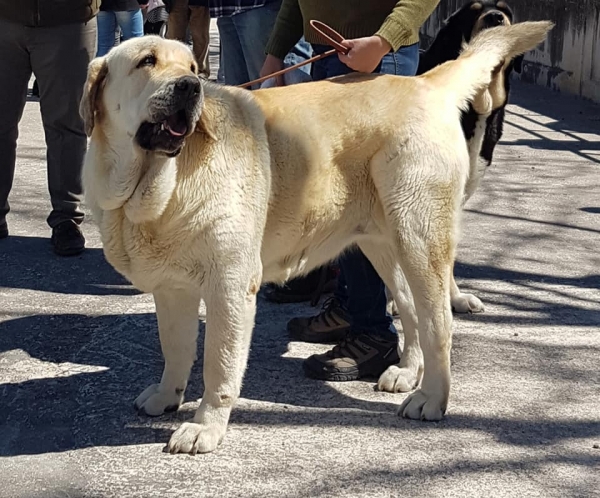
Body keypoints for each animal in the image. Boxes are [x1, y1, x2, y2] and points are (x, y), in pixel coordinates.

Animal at [81, 21, 552, 454]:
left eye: (193, 68)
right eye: (147, 61)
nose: (190, 86)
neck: (157, 184)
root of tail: (424, 83)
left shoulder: (229, 287)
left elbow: (218, 364)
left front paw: (205, 427)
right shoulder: (171, 289)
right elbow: (175, 349)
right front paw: (166, 396)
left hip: (419, 237)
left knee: (438, 320)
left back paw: (432, 397)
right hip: (384, 244)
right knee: (412, 311)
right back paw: (407, 373)